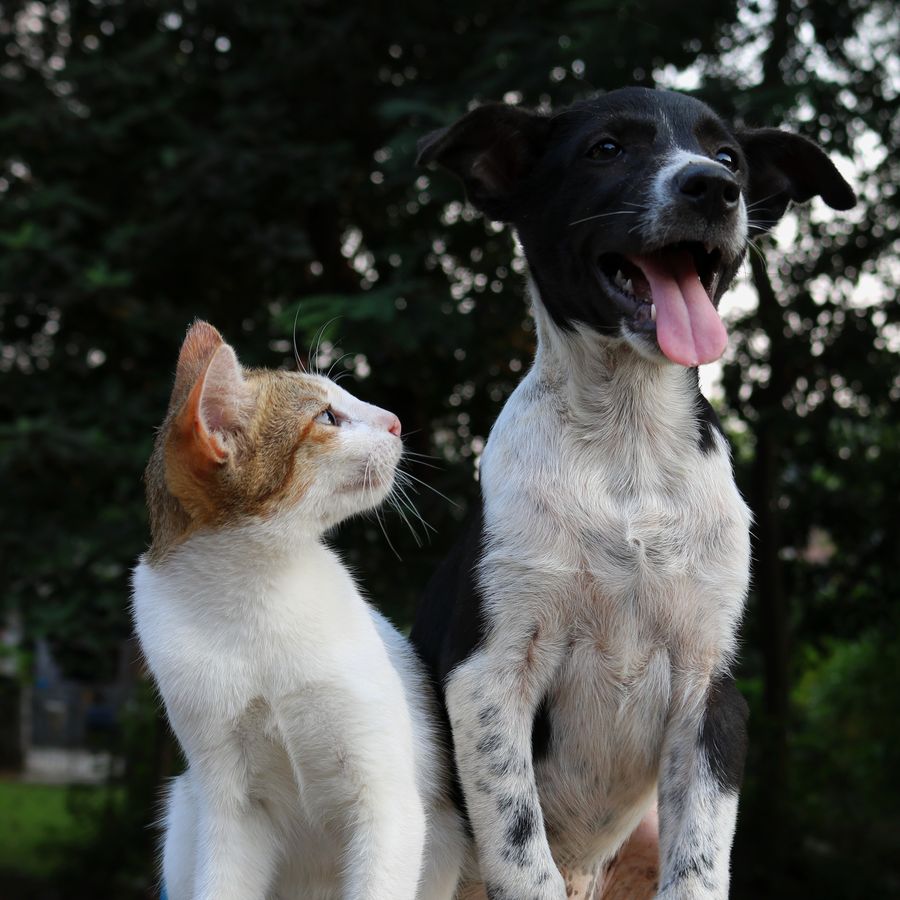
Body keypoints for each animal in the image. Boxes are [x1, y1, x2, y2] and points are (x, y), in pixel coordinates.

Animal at [131, 324, 464, 900]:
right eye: (326, 417)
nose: (395, 421)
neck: (257, 597)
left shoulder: (387, 804)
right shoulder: (231, 809)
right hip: (186, 811)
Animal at [412, 86, 856, 900]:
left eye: (729, 156)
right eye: (607, 149)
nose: (713, 189)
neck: (630, 449)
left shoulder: (712, 694)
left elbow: (700, 866)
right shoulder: (488, 679)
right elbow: (522, 855)